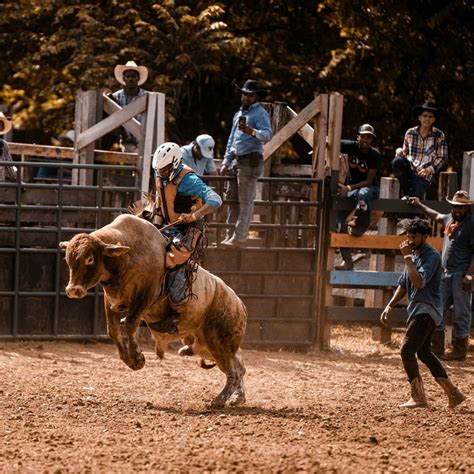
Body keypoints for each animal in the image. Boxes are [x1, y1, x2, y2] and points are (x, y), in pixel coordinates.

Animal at [59, 215, 248, 408]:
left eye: (90, 259)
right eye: (67, 259)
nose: (73, 290)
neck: (127, 256)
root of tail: (240, 304)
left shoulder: (145, 295)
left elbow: (130, 324)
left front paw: (137, 358)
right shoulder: (111, 300)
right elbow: (113, 330)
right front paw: (128, 359)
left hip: (219, 343)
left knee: (233, 371)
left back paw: (220, 399)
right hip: (203, 345)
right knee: (239, 365)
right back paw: (238, 397)